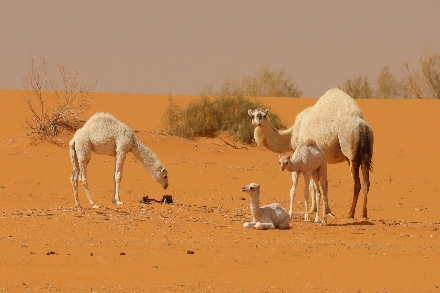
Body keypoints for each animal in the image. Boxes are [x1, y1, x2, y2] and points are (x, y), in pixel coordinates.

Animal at [249, 88, 372, 218]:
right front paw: (324, 210)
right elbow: (321, 184)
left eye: (264, 115)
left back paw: (350, 213)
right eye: (253, 116)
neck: (291, 134)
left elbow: (313, 185)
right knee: (366, 182)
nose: (258, 119)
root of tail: (362, 126)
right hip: (366, 154)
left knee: (357, 183)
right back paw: (364, 213)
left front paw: (314, 209)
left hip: (350, 150)